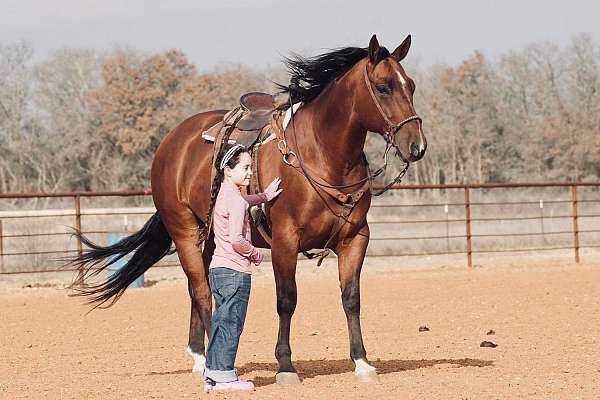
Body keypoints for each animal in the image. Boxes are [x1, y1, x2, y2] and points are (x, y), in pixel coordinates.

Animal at [69, 35, 426, 384]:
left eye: (410, 85)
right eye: (383, 87)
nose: (417, 146)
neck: (322, 154)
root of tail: (171, 142)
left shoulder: (355, 238)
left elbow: (351, 298)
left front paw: (362, 362)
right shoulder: (285, 241)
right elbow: (287, 300)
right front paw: (285, 366)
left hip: (213, 238)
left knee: (200, 289)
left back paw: (200, 355)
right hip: (184, 232)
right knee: (201, 291)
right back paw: (211, 364)